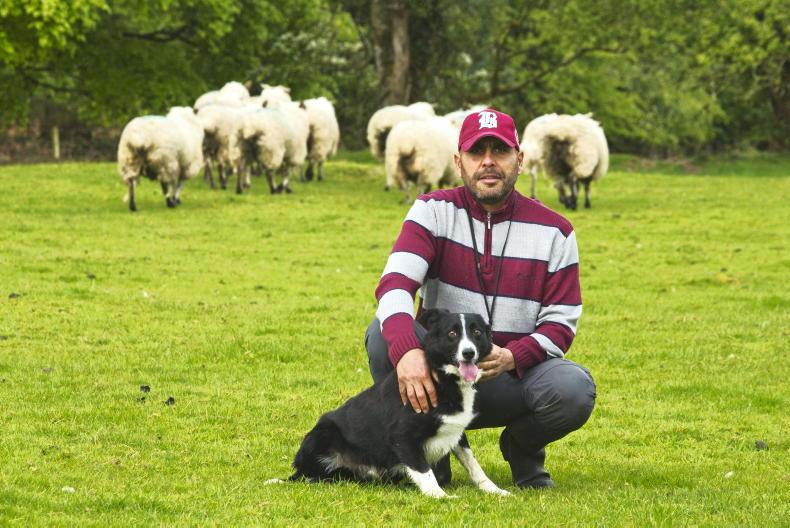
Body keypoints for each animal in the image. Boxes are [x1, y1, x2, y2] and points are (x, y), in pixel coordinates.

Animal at [284, 309, 510, 498]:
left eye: (477, 332)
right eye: (452, 334)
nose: (468, 353)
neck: (444, 378)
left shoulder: (456, 430)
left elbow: (473, 463)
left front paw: (494, 490)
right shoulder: (402, 436)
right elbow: (424, 471)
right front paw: (440, 496)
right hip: (322, 432)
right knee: (308, 475)